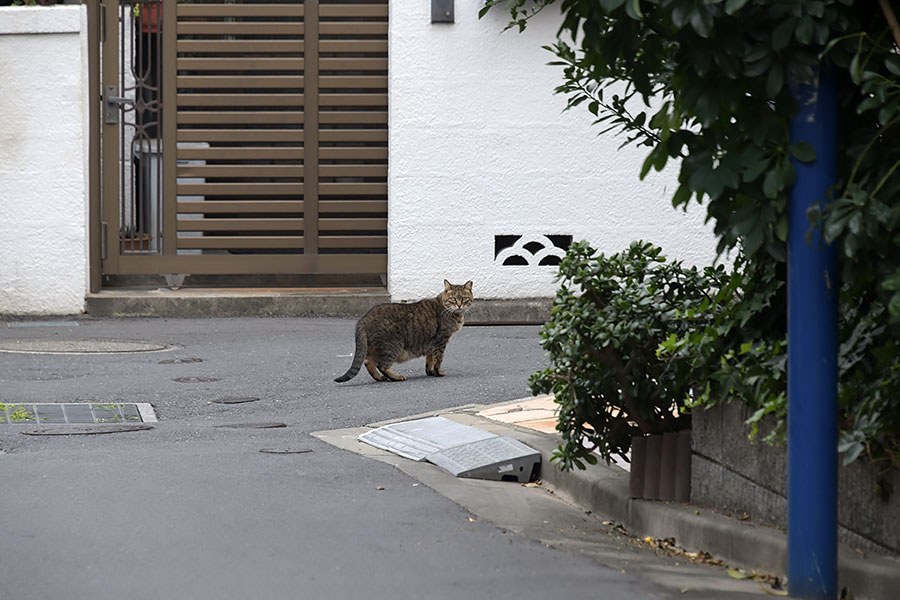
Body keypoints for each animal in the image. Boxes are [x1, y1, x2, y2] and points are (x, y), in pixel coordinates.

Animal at [334, 278, 474, 382]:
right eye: (453, 299)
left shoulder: (431, 343)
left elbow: (430, 359)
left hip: (374, 346)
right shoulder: (441, 340)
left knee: (368, 362)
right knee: (382, 365)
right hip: (393, 345)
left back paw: (380, 378)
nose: (459, 305)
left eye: (464, 298)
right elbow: (438, 359)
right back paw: (395, 377)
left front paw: (430, 372)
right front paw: (438, 372)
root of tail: (364, 318)